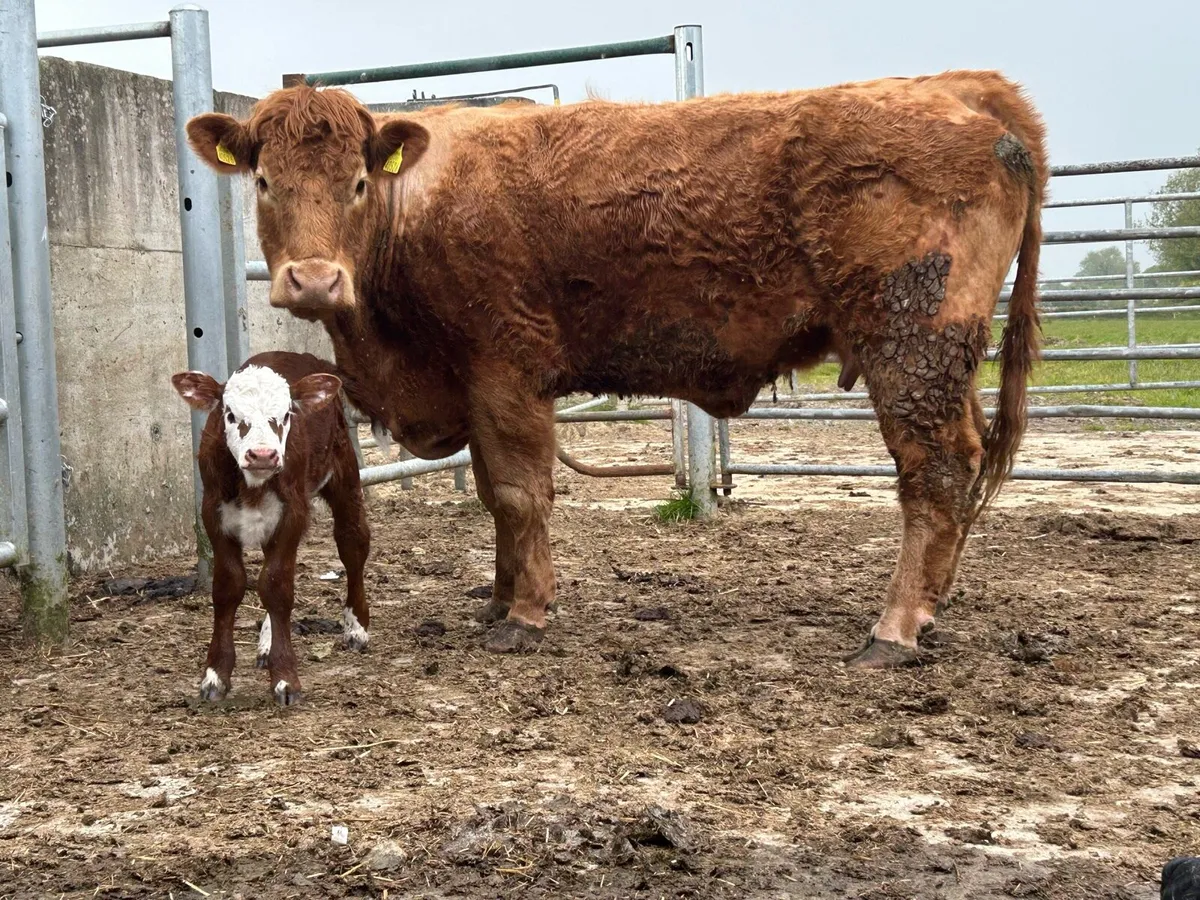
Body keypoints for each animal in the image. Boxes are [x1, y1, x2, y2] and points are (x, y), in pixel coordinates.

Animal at [172, 352, 370, 705]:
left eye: (285, 414)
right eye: (230, 414)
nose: (263, 455)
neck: (253, 485)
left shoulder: (293, 514)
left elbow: (277, 587)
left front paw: (285, 678)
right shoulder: (213, 515)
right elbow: (230, 587)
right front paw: (215, 675)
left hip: (344, 472)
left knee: (353, 544)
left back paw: (356, 627)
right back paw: (266, 641)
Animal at [186, 70, 1047, 668]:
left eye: (360, 182)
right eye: (263, 182)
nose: (314, 280)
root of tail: (955, 87)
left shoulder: (507, 367)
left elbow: (519, 492)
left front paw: (526, 615)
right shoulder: (472, 385)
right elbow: (496, 500)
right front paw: (499, 598)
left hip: (911, 348)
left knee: (936, 469)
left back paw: (894, 628)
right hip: (941, 363)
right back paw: (933, 605)